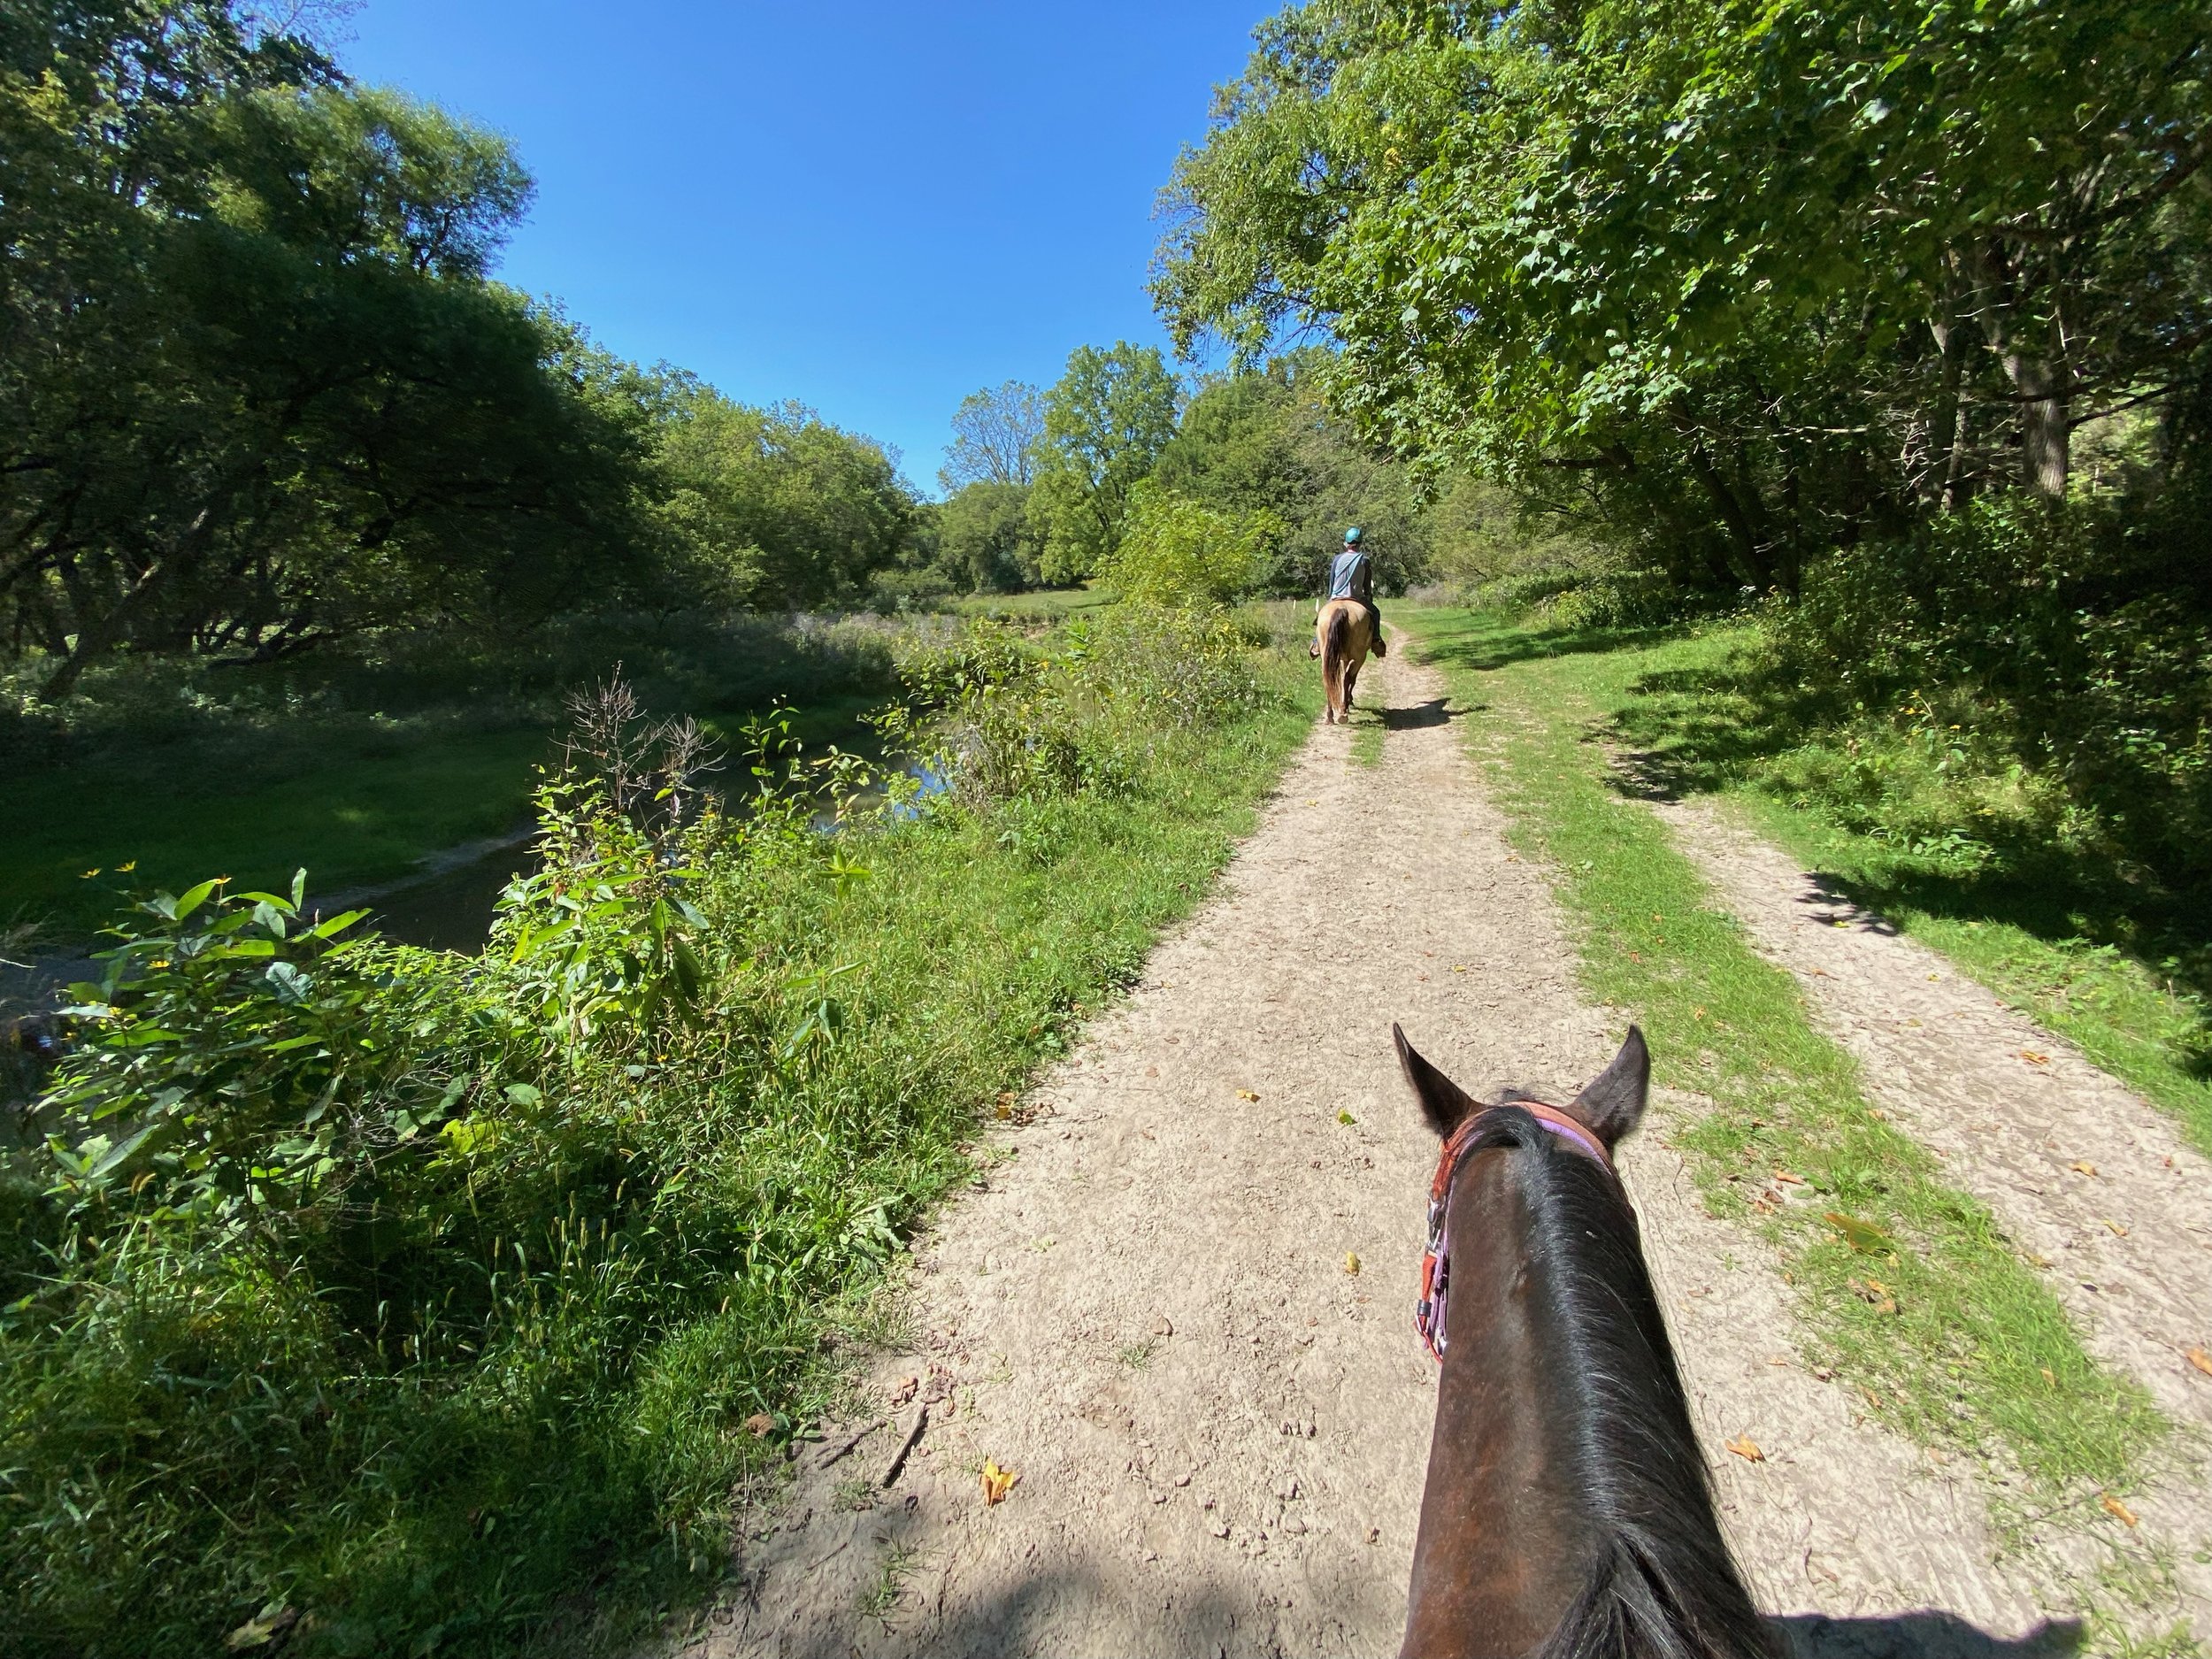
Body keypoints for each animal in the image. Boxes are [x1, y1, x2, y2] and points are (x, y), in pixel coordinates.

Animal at [1313, 596, 1374, 725]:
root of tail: (1342, 609)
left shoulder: (1343, 659)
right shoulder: (1357, 659)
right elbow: (1352, 679)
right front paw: (1349, 701)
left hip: (1327, 655)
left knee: (1328, 678)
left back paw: (1330, 716)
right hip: (1359, 657)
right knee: (1347, 679)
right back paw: (1343, 713)